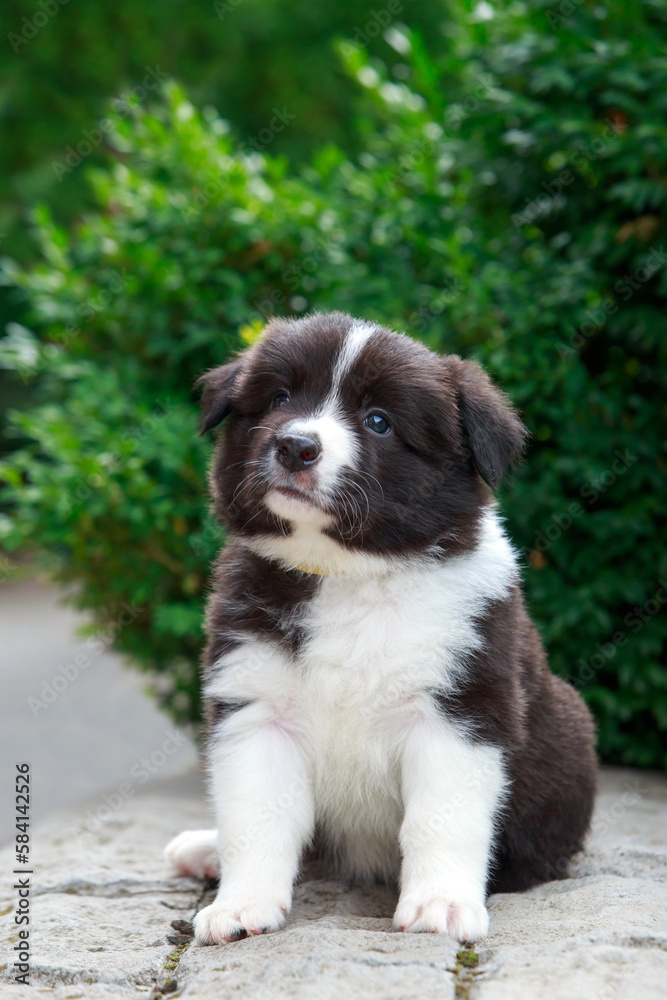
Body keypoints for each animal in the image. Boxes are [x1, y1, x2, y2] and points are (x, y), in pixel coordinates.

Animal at [164, 312, 596, 944]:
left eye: (379, 422)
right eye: (280, 397)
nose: (295, 445)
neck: (348, 574)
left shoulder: (459, 711)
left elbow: (440, 819)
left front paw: (441, 904)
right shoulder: (257, 705)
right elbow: (256, 816)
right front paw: (240, 907)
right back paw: (205, 849)